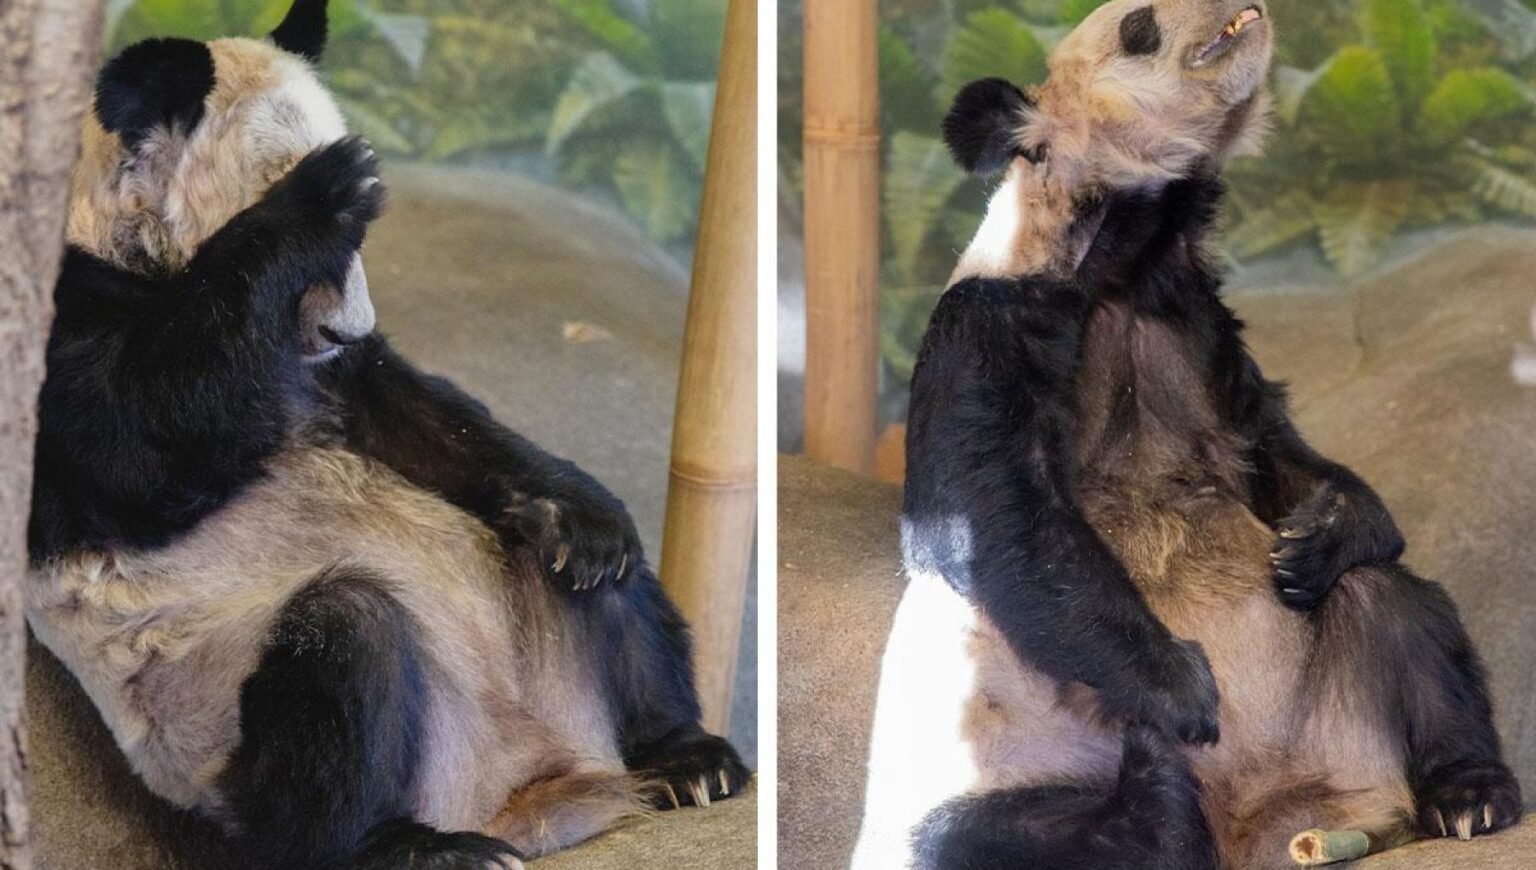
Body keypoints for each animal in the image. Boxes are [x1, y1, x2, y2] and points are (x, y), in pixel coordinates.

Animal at [27, 1, 747, 868]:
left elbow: (418, 418)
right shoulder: (66, 317)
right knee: (341, 657)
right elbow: (139, 442)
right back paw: (409, 843)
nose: (348, 328)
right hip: (218, 711)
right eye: (335, 244)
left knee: (610, 586)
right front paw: (318, 193)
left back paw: (683, 751)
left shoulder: (338, 375)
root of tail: (523, 798)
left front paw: (577, 512)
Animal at [852, 1, 1522, 868]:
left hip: (1337, 701)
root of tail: (1253, 826)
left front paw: (1326, 530)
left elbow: (1276, 451)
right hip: (1010, 758)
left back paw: (1467, 796)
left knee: (1402, 614)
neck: (1125, 262)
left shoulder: (1200, 329)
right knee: (1011, 836)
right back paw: (1154, 783)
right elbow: (1000, 519)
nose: (1246, 13)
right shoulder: (988, 331)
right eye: (1138, 28)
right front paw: (1182, 689)